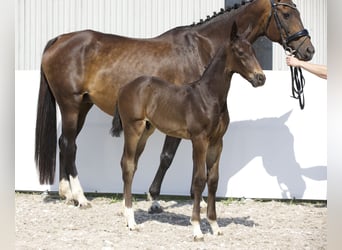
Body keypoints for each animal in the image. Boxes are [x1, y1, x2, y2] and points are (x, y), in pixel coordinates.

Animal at [35, 0, 316, 207]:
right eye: (286, 13)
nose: (308, 50)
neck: (201, 47)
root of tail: (59, 40)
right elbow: (167, 157)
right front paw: (156, 199)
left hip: (83, 106)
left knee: (64, 142)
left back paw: (67, 193)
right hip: (70, 105)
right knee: (69, 145)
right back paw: (80, 197)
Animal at [111, 23, 266, 240]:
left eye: (253, 50)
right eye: (239, 52)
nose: (260, 78)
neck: (208, 97)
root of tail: (125, 87)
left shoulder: (217, 142)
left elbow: (213, 180)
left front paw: (215, 225)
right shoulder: (199, 139)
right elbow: (199, 180)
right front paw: (197, 229)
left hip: (146, 132)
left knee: (131, 165)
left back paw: (128, 216)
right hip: (133, 128)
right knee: (128, 165)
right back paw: (132, 221)